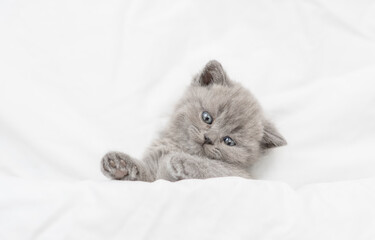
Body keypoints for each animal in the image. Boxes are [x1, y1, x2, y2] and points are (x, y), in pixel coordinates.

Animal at [101, 60, 286, 182]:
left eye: (229, 141)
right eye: (207, 118)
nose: (208, 138)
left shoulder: (244, 177)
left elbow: (217, 168)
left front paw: (183, 161)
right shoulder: (154, 176)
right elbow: (145, 174)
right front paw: (119, 165)